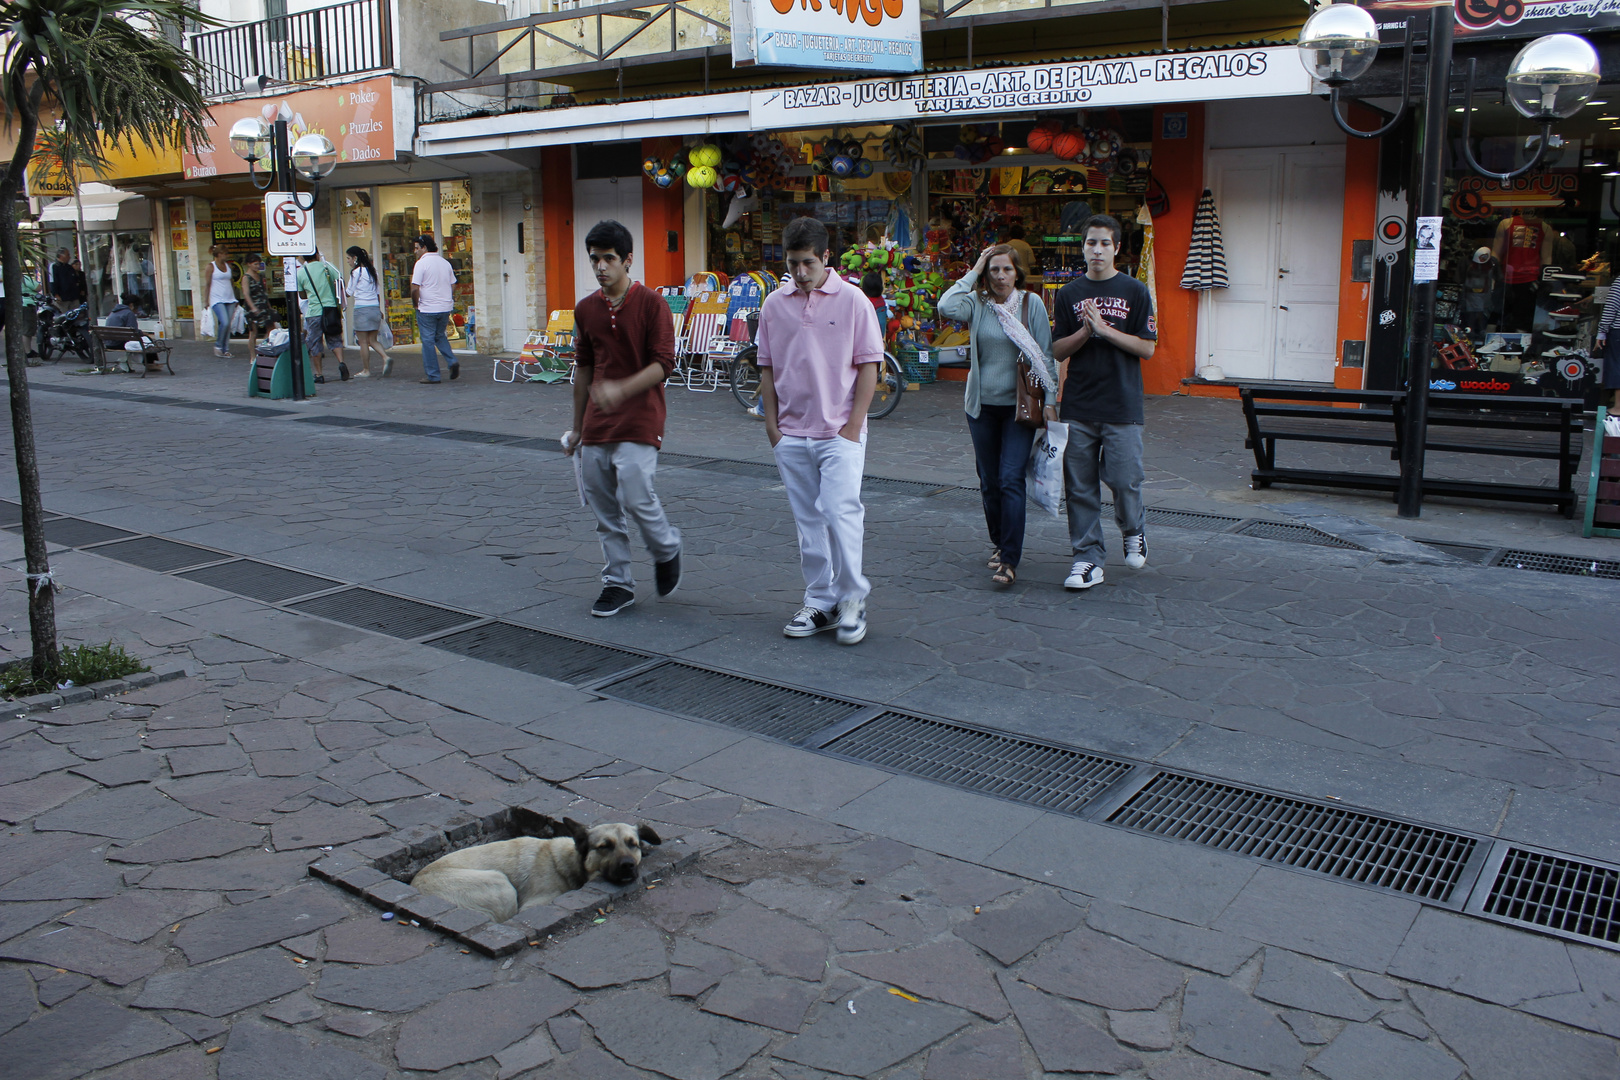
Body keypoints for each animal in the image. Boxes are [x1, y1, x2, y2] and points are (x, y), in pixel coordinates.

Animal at [411, 816, 664, 926]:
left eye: (633, 844)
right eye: (605, 846)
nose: (628, 865)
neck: (571, 863)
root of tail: (415, 883)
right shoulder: (534, 903)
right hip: (499, 883)